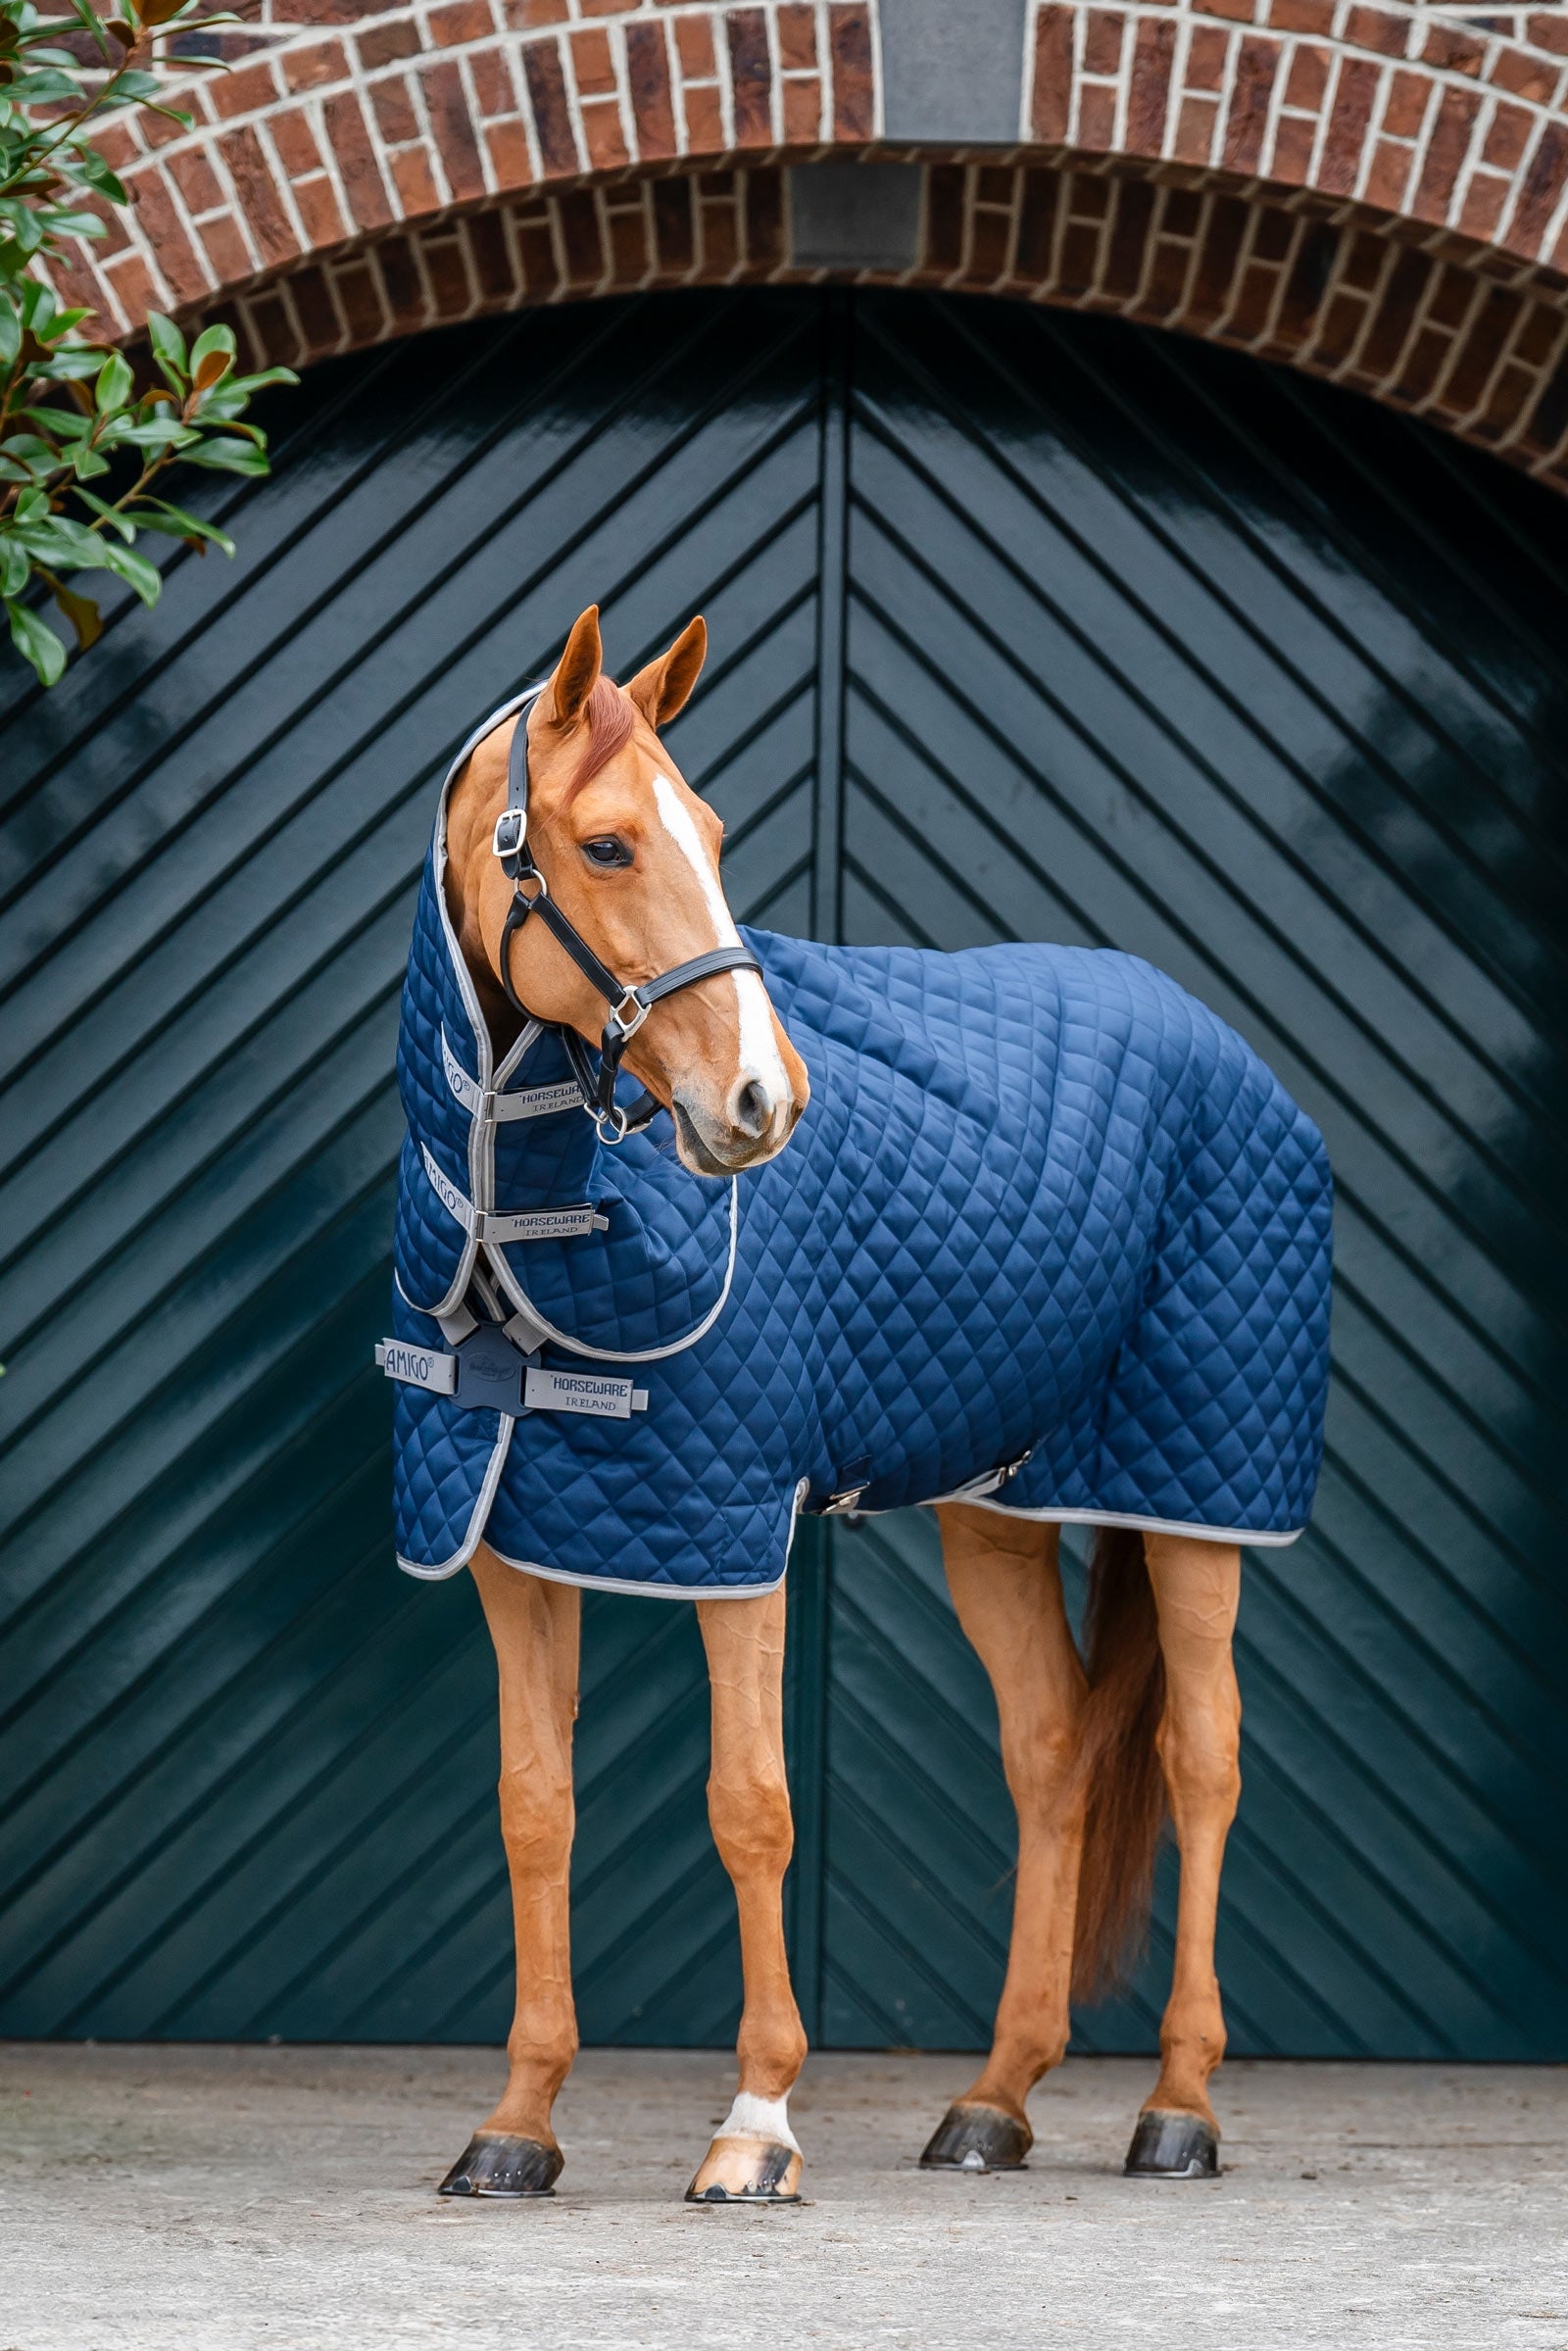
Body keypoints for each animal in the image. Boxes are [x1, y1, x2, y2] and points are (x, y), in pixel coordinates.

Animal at [381, 604, 1333, 2201]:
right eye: (608, 844)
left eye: (707, 830)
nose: (765, 1102)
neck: (530, 1219)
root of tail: (1228, 1051)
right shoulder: (517, 1540)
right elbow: (534, 1808)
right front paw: (515, 2124)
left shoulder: (731, 1532)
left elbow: (751, 1805)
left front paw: (755, 2122)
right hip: (997, 1508)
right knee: (1053, 1752)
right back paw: (993, 2101)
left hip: (1197, 1499)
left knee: (1201, 1757)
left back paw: (1180, 2107)